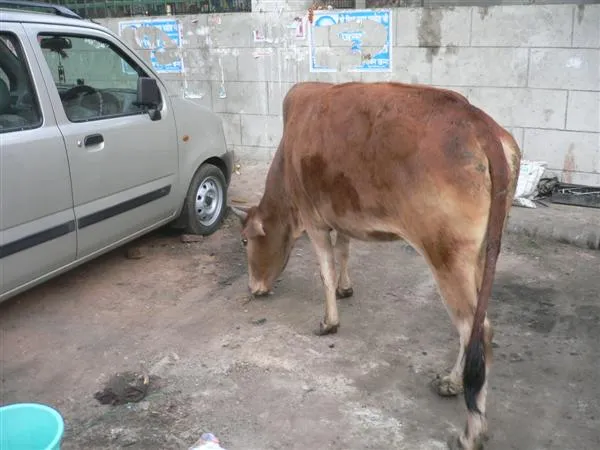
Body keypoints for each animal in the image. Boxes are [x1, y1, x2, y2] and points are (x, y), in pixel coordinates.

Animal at [231, 81, 521, 450]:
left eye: (244, 241)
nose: (253, 287)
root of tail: (478, 122)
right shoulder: (339, 215)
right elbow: (344, 250)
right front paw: (346, 288)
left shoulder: (313, 220)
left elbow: (325, 270)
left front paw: (329, 322)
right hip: (482, 253)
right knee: (473, 329)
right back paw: (452, 383)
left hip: (447, 256)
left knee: (476, 329)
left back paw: (471, 432)